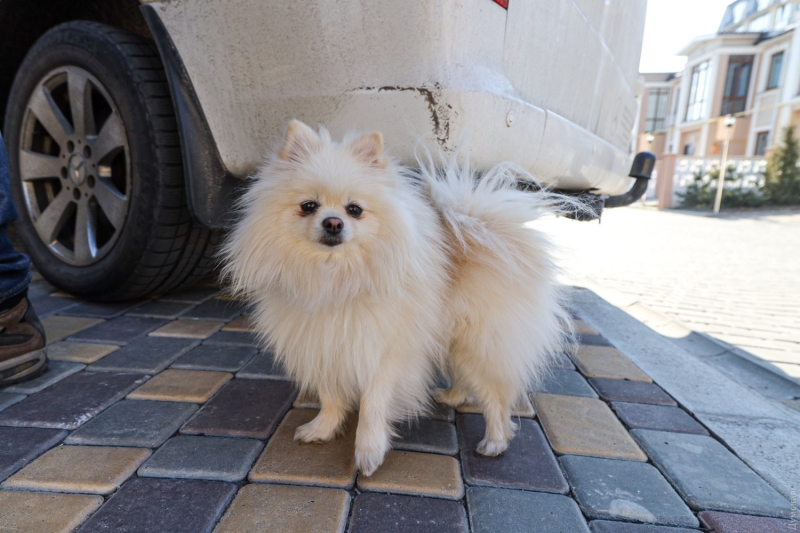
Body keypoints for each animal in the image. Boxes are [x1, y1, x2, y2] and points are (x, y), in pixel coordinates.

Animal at [223, 119, 576, 474]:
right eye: (308, 206)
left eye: (354, 210)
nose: (333, 222)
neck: (335, 277)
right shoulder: (325, 344)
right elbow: (331, 396)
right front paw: (322, 429)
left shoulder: (385, 354)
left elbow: (372, 405)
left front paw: (368, 452)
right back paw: (453, 396)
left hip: (477, 342)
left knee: (496, 397)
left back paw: (495, 441)